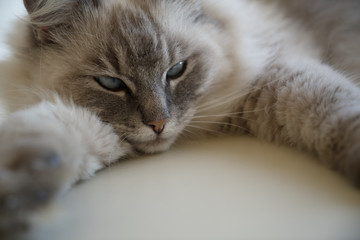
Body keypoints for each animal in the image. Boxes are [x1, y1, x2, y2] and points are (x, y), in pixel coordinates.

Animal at [0, 0, 358, 237]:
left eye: (176, 70)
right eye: (111, 83)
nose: (158, 124)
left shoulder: (274, 78)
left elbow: (338, 108)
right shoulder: (90, 123)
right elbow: (53, 133)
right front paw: (21, 192)